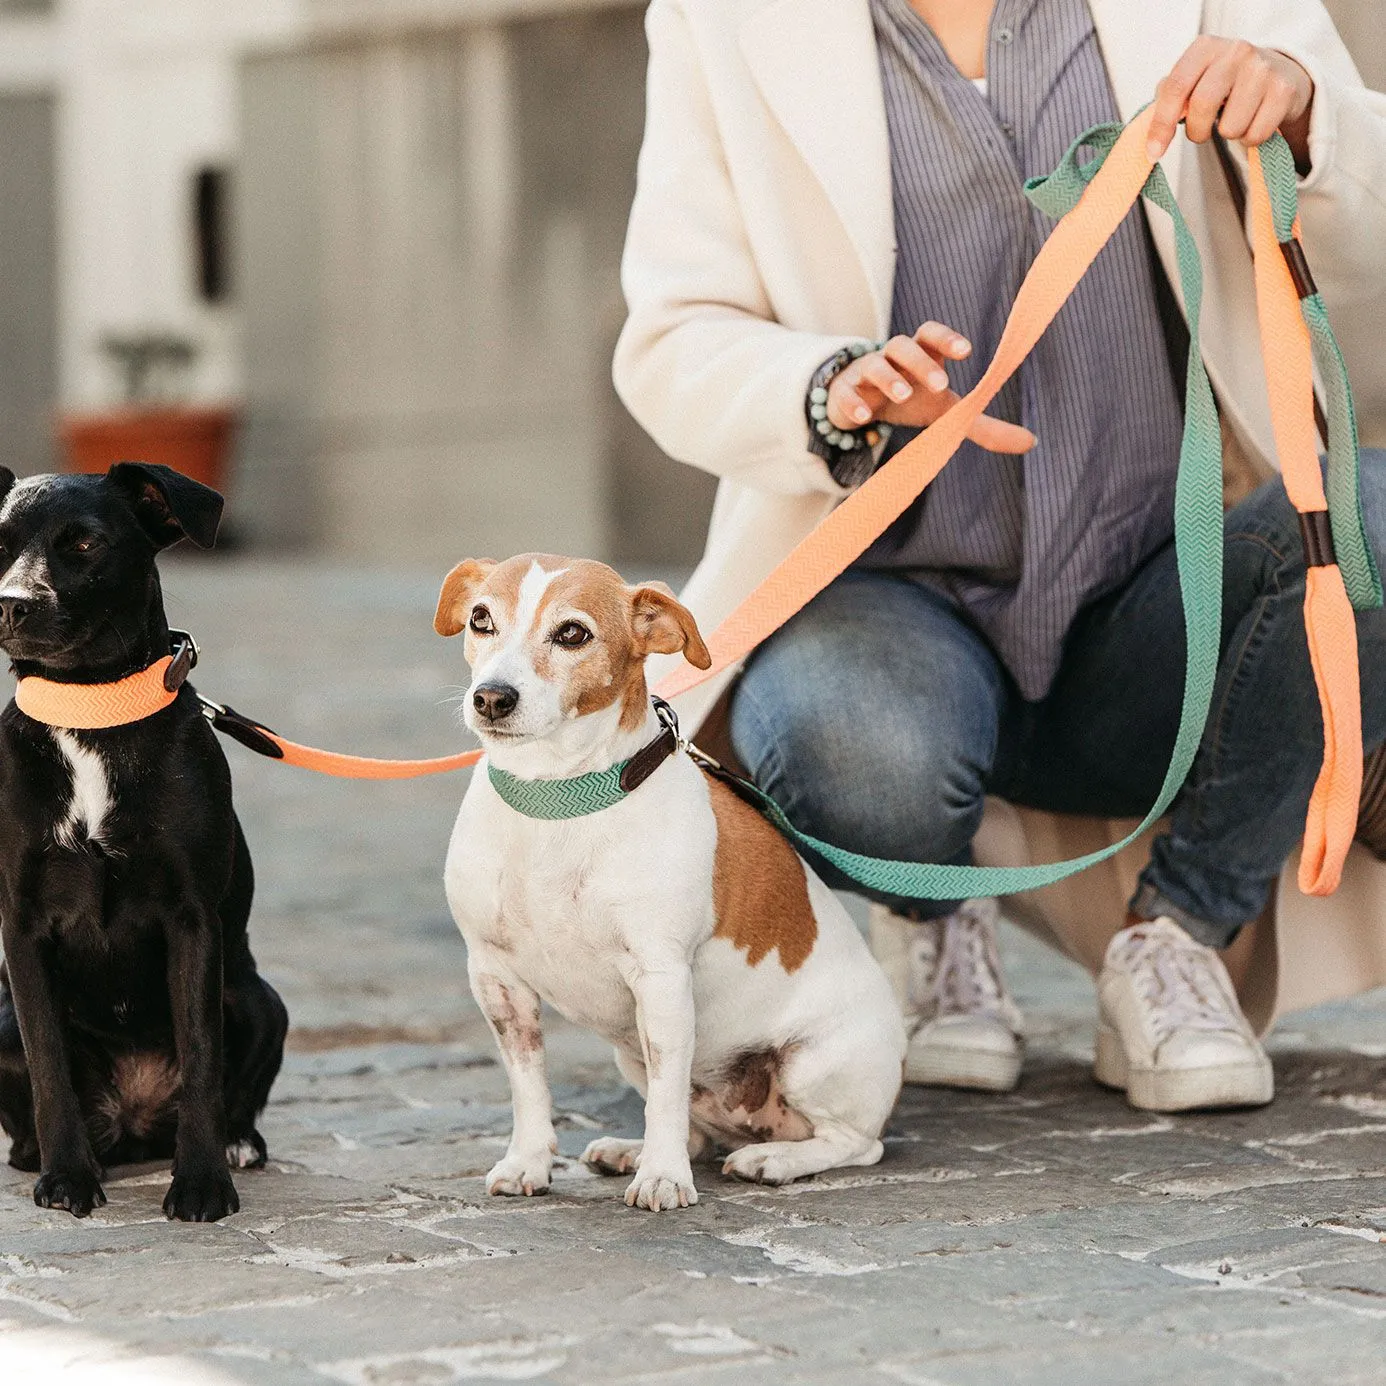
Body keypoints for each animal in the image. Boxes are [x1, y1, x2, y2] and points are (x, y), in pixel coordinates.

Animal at [0, 468, 286, 1225]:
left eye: (84, 544)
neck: (89, 710)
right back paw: (37, 1154)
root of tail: (133, 1123)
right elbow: (49, 1065)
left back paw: (238, 1144)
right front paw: (68, 1177)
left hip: (258, 998)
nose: (10, 605)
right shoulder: (22, 925)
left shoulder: (193, 919)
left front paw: (202, 1184)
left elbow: (202, 1057)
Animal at [437, 557, 903, 1208]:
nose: (492, 697)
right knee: (697, 1129)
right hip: (628, 1053)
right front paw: (528, 1162)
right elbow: (530, 1087)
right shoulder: (496, 979)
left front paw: (662, 1178)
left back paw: (774, 1160)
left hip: (813, 1065)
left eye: (572, 633)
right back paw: (630, 1151)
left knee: (856, 1145)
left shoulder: (660, 982)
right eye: (481, 619)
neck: (554, 797)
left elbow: (664, 1096)